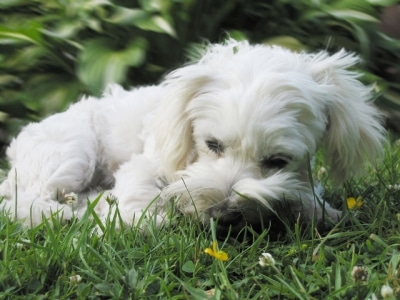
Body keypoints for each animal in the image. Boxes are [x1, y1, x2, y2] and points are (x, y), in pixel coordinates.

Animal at [0, 39, 388, 236]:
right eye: (211, 144)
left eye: (277, 161)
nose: (225, 216)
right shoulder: (146, 163)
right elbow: (138, 192)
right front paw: (139, 219)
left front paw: (317, 209)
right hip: (71, 151)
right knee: (23, 201)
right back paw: (65, 214)